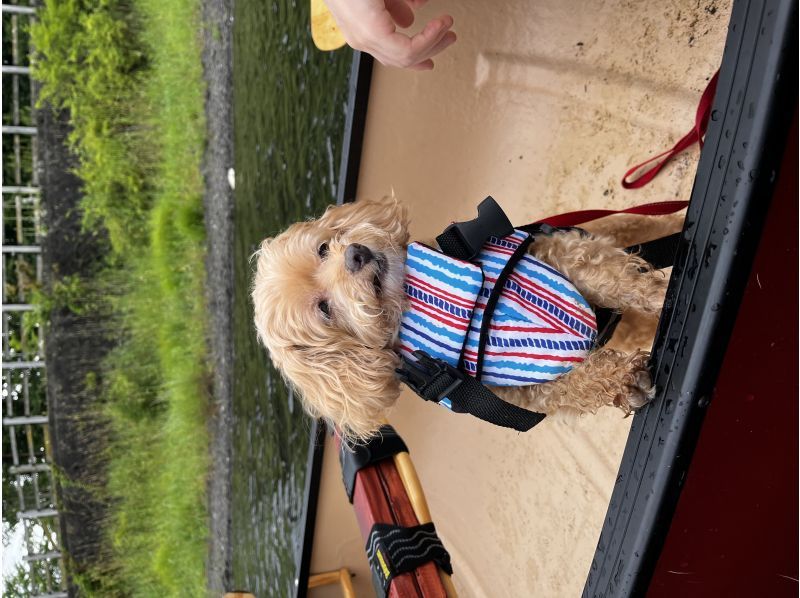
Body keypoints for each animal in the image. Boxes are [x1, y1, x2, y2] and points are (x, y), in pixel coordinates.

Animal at [253, 197, 664, 440]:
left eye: (323, 248)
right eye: (323, 308)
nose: (355, 253)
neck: (417, 295)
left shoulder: (561, 257)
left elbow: (616, 279)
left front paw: (658, 296)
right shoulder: (528, 388)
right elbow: (574, 384)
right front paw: (624, 381)